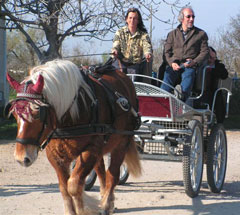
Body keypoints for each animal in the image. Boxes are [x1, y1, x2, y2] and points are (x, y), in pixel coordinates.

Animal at [5, 59, 142, 215]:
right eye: (14, 114)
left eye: (37, 113)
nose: (21, 158)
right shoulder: (55, 155)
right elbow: (64, 188)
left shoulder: (91, 150)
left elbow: (74, 185)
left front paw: (83, 208)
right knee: (101, 171)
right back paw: (104, 197)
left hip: (122, 142)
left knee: (112, 174)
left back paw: (107, 204)